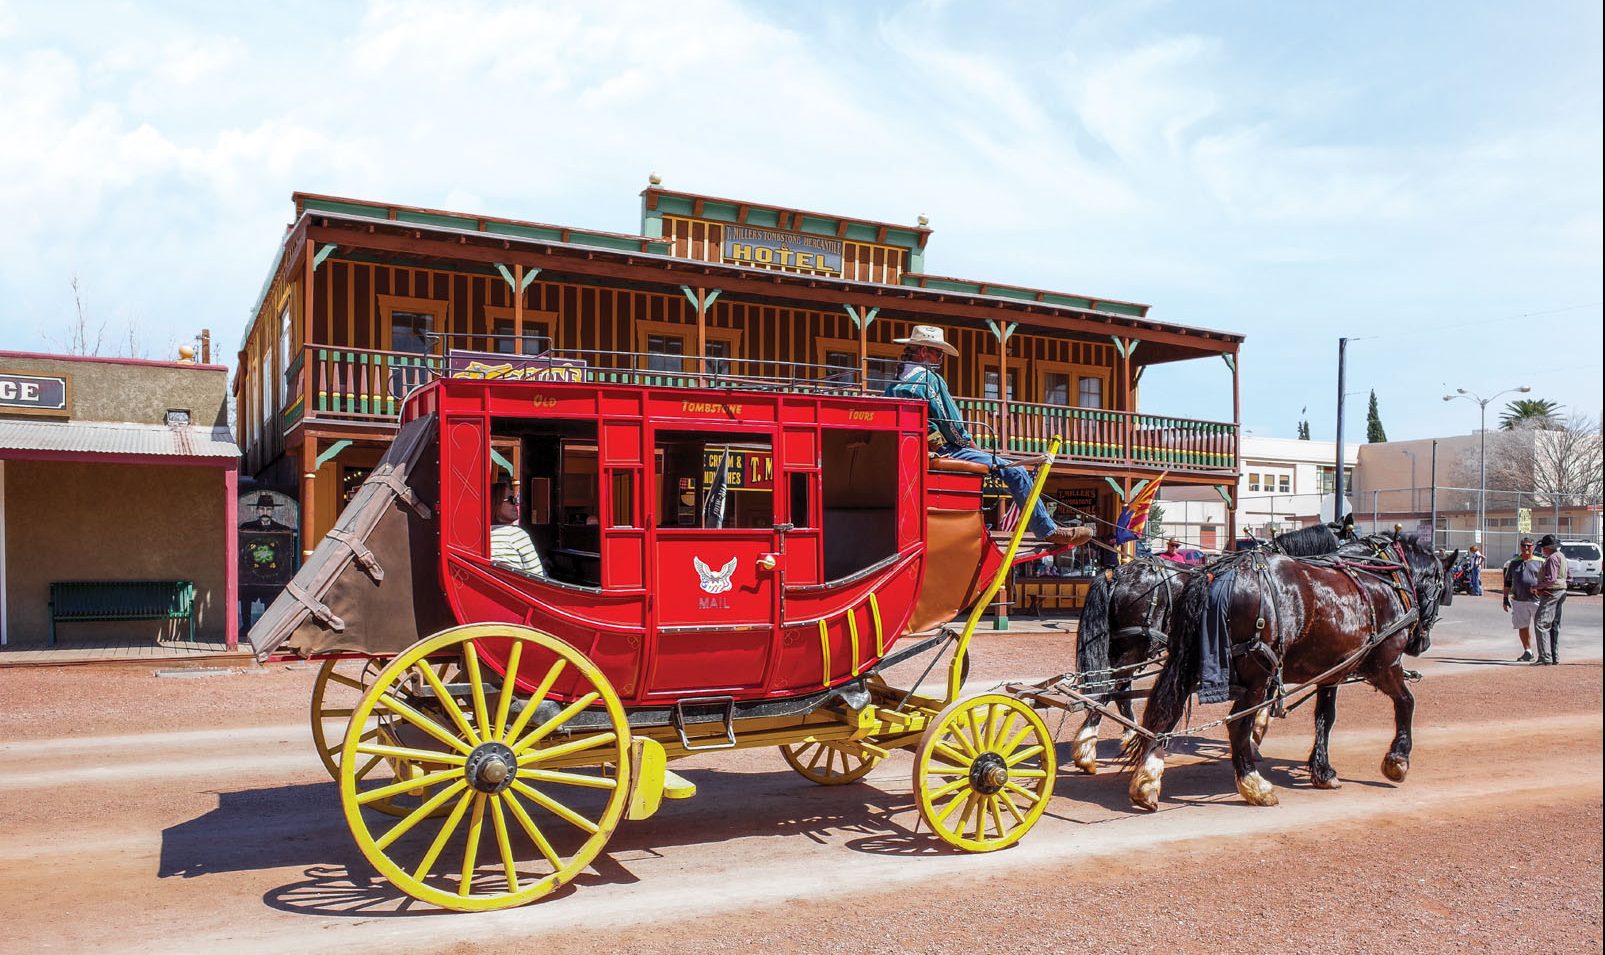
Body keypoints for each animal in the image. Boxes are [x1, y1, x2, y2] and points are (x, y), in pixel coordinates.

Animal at [1072, 523, 1361, 776]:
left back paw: (1124, 735)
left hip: (1119, 646)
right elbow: (1261, 701)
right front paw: (1254, 739)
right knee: (1110, 690)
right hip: (1136, 647)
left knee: (1113, 691)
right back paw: (1090, 749)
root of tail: (1116, 573)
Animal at [1129, 532, 1457, 812]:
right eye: (1443, 588)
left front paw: (1322, 770)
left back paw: (1147, 782)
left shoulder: (1331, 671)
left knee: (1164, 714)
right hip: (1258, 675)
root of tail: (1218, 573)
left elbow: (1325, 718)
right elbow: (1406, 702)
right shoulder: (1384, 664)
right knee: (1237, 725)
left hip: (1188, 662)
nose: (1422, 643)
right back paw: (1254, 784)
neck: (1384, 578)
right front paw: (1397, 760)